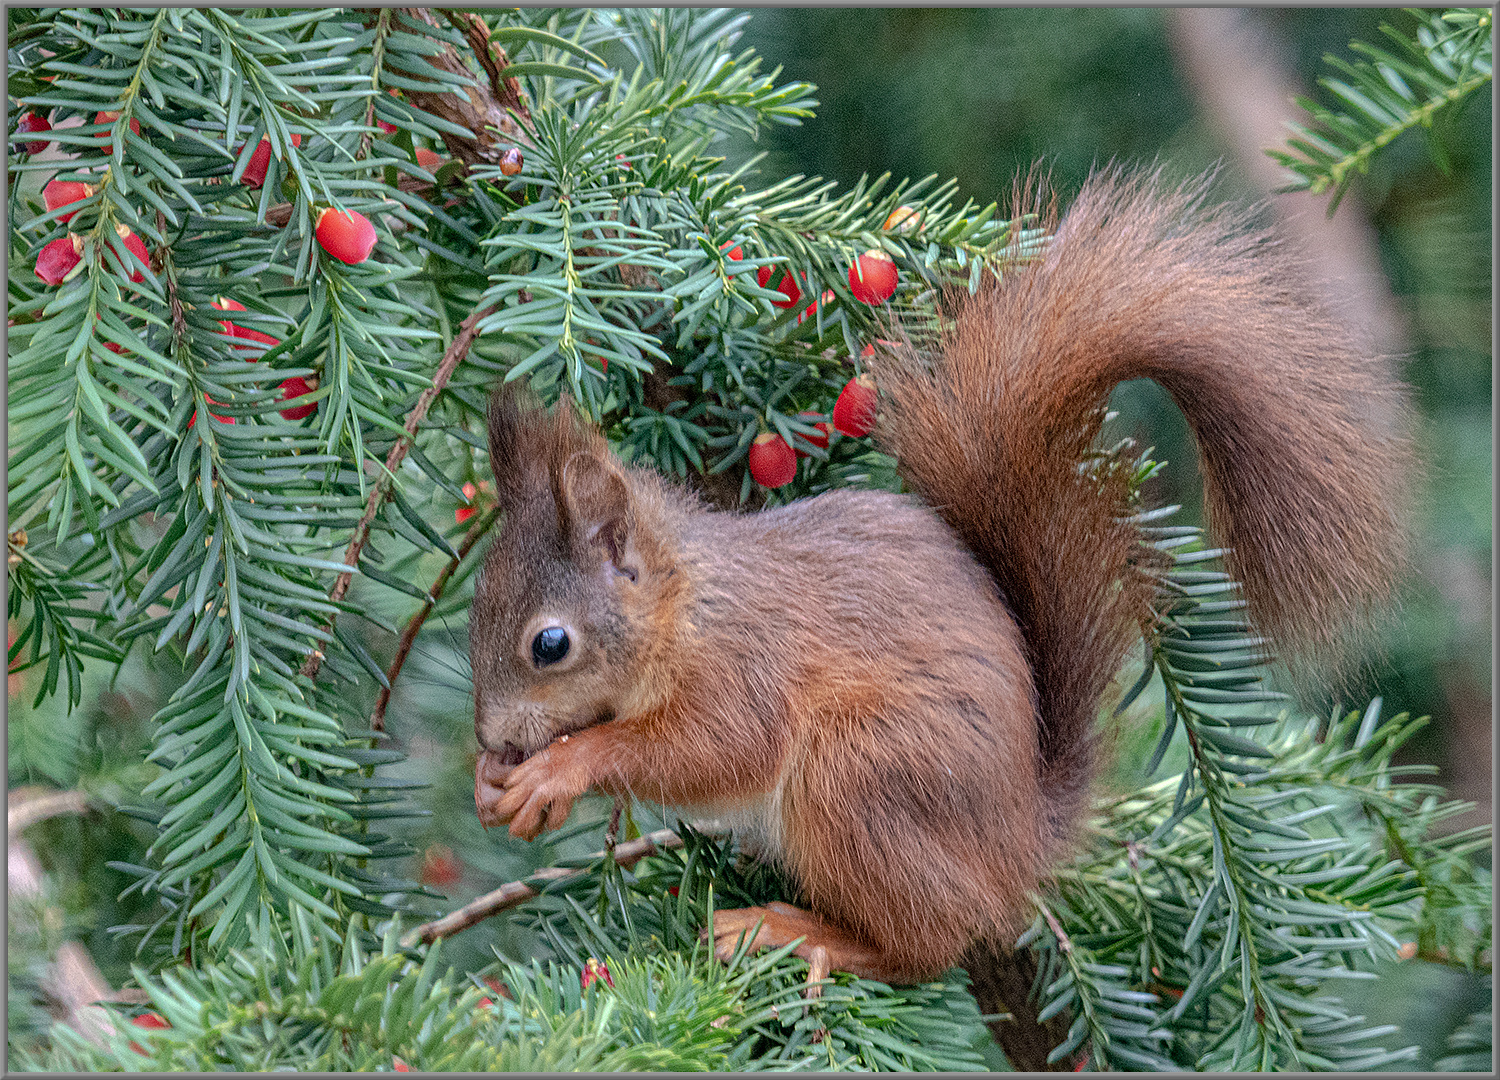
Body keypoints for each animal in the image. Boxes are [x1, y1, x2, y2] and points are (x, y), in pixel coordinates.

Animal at [465, 168, 1404, 990]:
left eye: (551, 644)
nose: (489, 737)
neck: (685, 605)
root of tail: (1017, 844)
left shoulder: (746, 666)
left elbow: (712, 747)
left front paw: (561, 769)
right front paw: (496, 783)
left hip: (862, 774)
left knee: (934, 943)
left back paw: (801, 934)